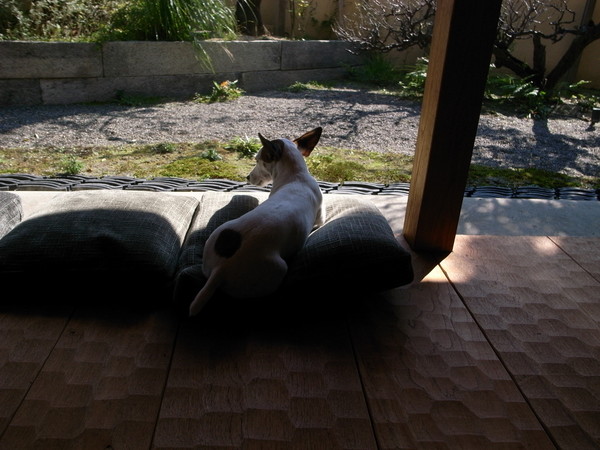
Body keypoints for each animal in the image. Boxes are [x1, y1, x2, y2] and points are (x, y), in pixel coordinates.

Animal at [189, 127, 324, 316]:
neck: (295, 175)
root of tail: (220, 269)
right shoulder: (320, 218)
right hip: (278, 268)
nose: (247, 177)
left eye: (258, 160)